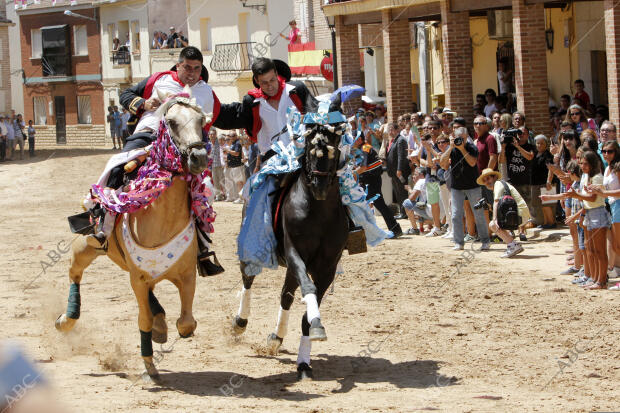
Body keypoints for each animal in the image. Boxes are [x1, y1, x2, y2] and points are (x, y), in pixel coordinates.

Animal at [56, 85, 211, 382]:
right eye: (172, 122)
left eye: (202, 121)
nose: (198, 157)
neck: (162, 219)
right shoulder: (137, 277)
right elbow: (144, 319)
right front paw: (149, 366)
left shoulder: (187, 274)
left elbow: (186, 323)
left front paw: (163, 331)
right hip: (87, 247)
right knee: (74, 272)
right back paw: (66, 319)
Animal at [231, 95, 348, 378]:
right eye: (309, 142)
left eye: (336, 141)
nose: (319, 185)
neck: (318, 212)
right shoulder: (296, 253)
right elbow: (308, 290)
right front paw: (316, 326)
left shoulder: (327, 266)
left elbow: (308, 303)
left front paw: (305, 359)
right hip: (253, 249)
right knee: (248, 279)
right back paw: (240, 322)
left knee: (285, 294)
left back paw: (277, 337)